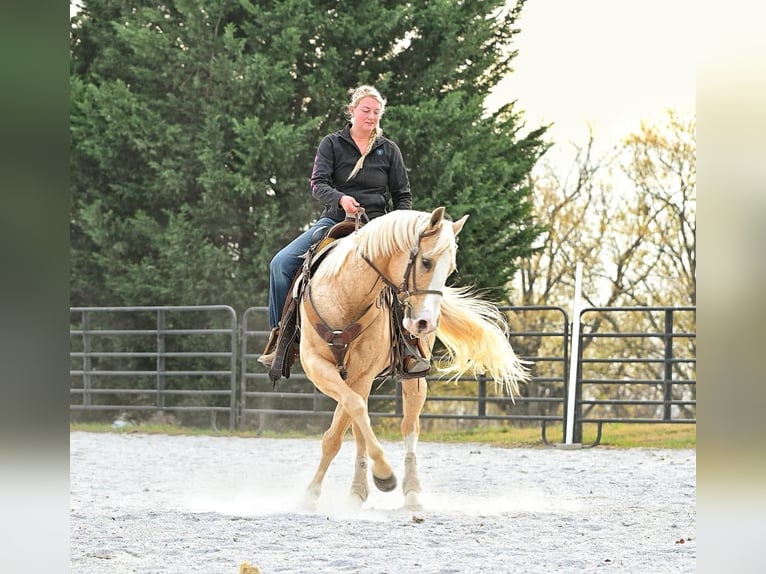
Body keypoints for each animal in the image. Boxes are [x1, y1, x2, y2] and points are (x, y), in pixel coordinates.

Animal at [298, 207, 528, 512]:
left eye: (450, 269)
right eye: (426, 262)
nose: (425, 322)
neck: (345, 295)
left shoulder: (361, 375)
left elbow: (344, 424)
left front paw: (383, 474)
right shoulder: (316, 366)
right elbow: (348, 420)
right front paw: (314, 493)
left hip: (413, 379)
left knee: (409, 426)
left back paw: (412, 493)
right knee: (359, 424)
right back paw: (357, 492)